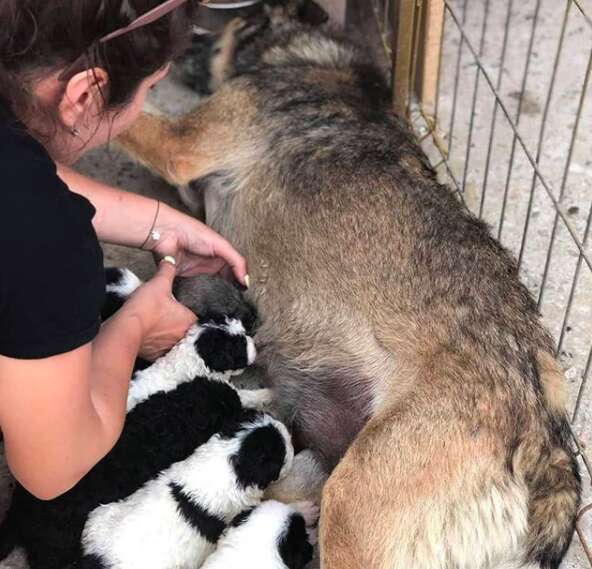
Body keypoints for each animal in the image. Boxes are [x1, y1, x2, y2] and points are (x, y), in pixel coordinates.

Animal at [0, 268, 316, 568]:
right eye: (237, 346)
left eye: (236, 324)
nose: (256, 344)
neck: (189, 363)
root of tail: (20, 508)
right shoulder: (225, 397)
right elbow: (249, 396)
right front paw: (269, 393)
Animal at [118, 5, 580, 568]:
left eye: (227, 24)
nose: (177, 52)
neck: (314, 58)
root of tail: (546, 443)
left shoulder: (181, 145)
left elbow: (128, 122)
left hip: (354, 506)